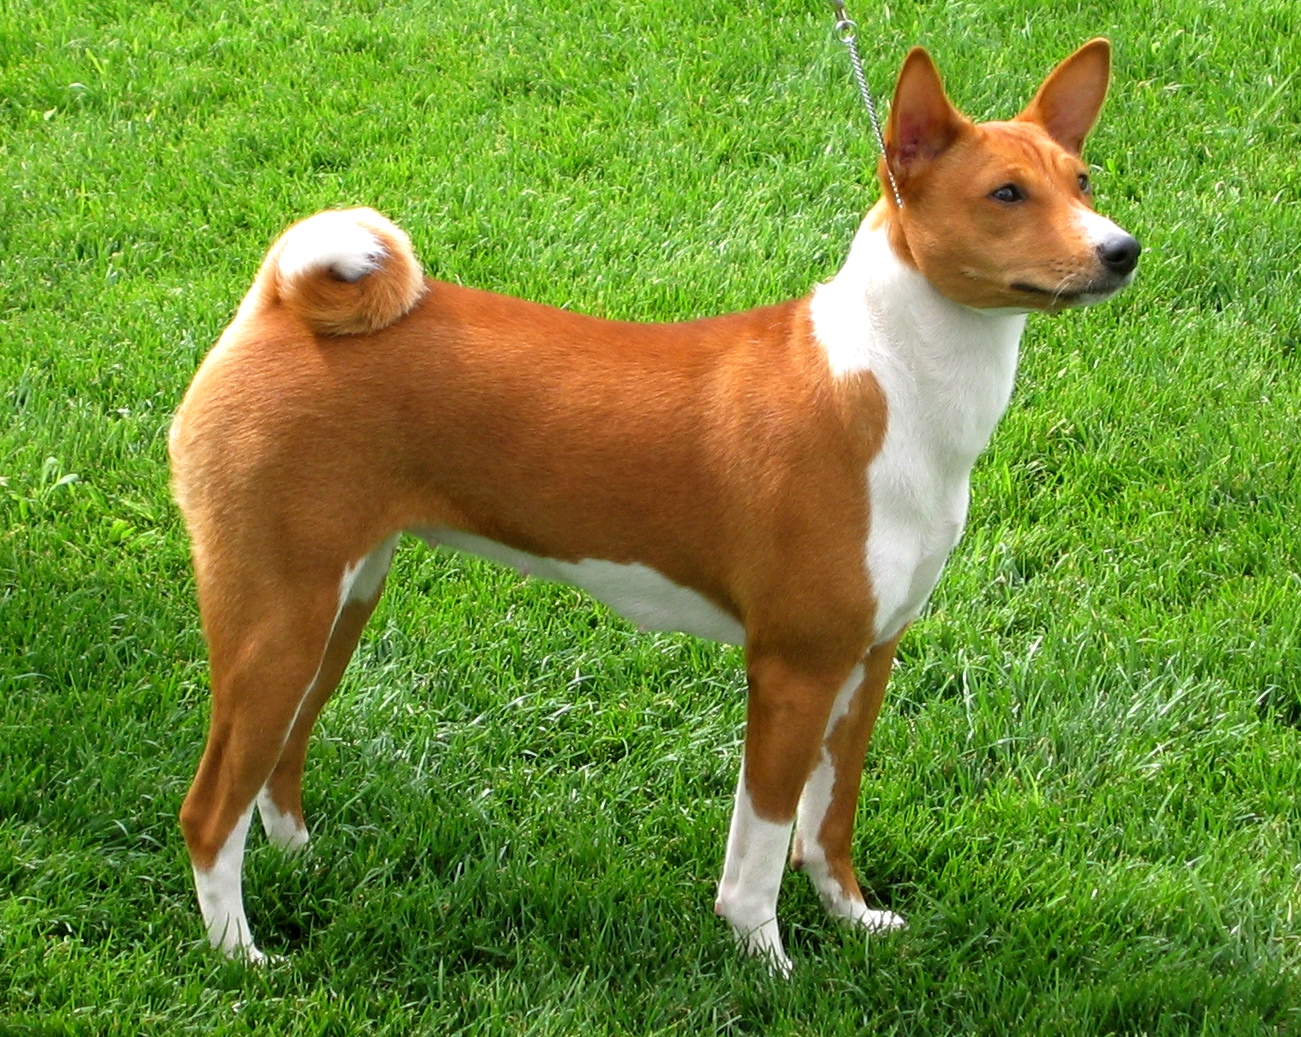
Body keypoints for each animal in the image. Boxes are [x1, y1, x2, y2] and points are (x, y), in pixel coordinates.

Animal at [169, 38, 1138, 973]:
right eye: (1005, 193)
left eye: (1082, 181)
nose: (1121, 248)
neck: (891, 381)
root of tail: (275, 306)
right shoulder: (793, 667)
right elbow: (759, 848)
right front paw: (766, 963)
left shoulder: (868, 656)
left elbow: (827, 826)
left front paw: (853, 919)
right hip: (277, 617)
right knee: (210, 807)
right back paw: (242, 957)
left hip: (342, 602)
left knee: (275, 767)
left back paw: (305, 863)